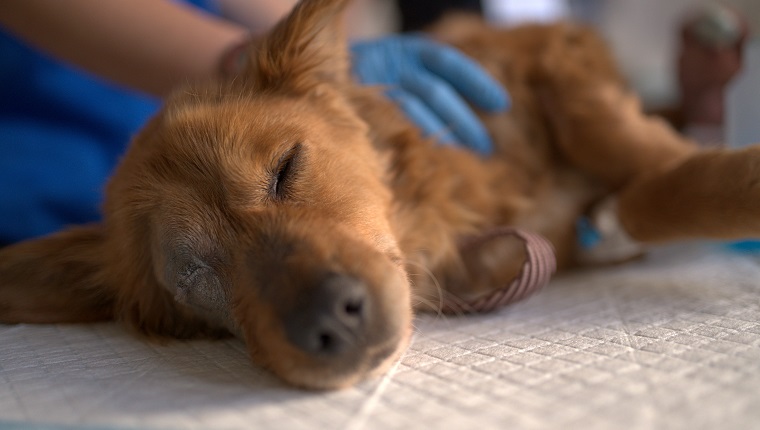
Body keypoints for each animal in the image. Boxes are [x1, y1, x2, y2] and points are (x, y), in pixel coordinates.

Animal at [1, 0, 760, 390]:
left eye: (286, 169)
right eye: (192, 278)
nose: (330, 324)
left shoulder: (545, 49)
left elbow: (623, 147)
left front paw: (716, 173)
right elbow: (636, 200)